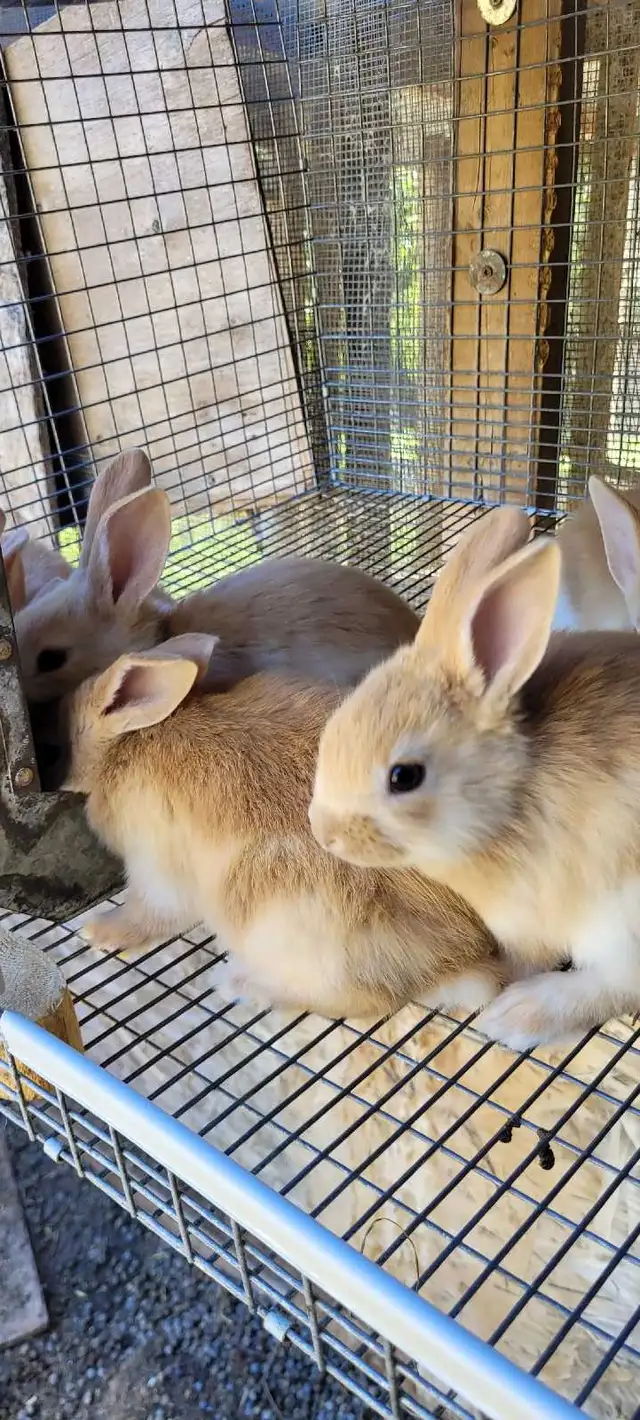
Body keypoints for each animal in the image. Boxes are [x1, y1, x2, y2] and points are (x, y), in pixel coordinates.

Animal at [60, 633, 504, 1017]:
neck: (131, 742)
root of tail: (466, 962)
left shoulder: (157, 865)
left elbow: (151, 910)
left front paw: (99, 931)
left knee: (366, 1001)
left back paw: (243, 987)